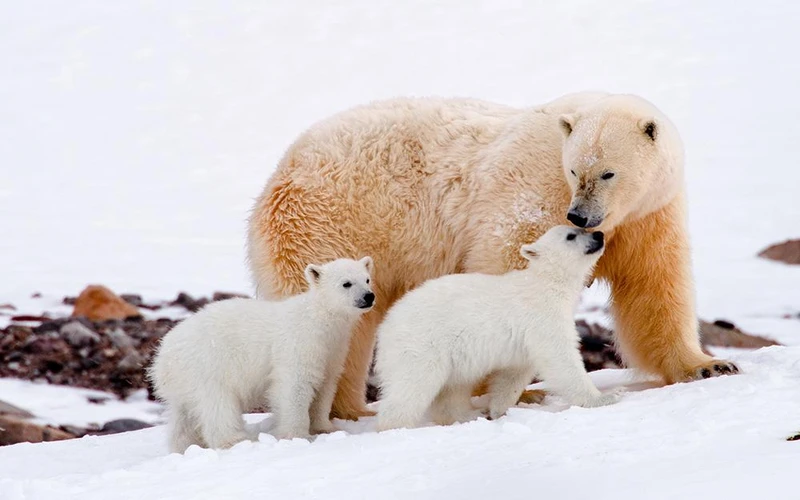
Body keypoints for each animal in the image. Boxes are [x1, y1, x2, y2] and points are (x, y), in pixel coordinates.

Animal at [148, 258, 374, 454]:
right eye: (346, 283)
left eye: (367, 279)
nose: (369, 296)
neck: (319, 318)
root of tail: (163, 358)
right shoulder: (299, 343)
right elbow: (295, 385)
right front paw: (297, 436)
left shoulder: (332, 350)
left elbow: (325, 387)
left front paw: (325, 428)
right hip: (208, 366)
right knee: (219, 406)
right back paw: (235, 440)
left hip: (184, 383)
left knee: (183, 418)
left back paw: (185, 446)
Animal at [376, 227, 620, 430]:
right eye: (571, 235)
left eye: (583, 229)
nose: (598, 235)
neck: (546, 283)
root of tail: (386, 329)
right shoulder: (542, 317)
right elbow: (560, 359)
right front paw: (605, 397)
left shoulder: (525, 341)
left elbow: (513, 374)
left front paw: (497, 410)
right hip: (422, 345)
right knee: (412, 387)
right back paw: (394, 427)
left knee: (453, 389)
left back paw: (469, 415)